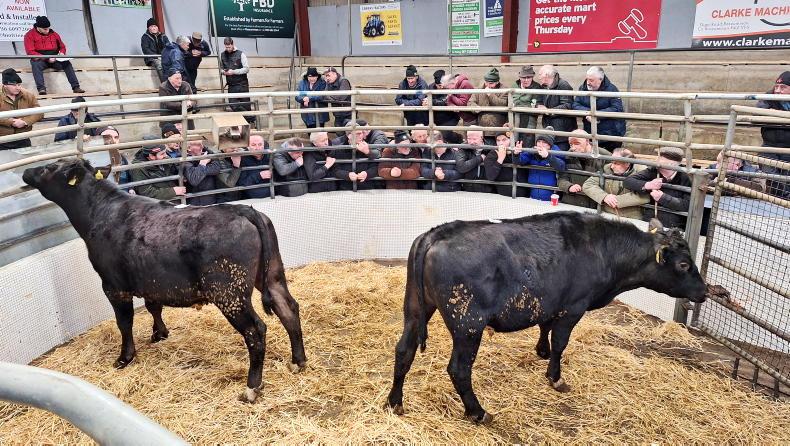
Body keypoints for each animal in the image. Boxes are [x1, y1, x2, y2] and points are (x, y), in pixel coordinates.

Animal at [22, 158, 307, 403]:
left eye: (48, 167)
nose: (26, 171)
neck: (99, 212)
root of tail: (242, 209)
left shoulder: (113, 286)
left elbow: (124, 322)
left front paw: (125, 357)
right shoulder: (151, 280)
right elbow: (153, 306)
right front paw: (159, 333)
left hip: (229, 292)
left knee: (255, 330)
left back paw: (252, 388)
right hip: (272, 275)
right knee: (288, 308)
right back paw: (298, 361)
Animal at [386, 212, 707, 424]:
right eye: (683, 264)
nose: (704, 292)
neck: (603, 249)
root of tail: (436, 233)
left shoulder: (551, 302)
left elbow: (545, 327)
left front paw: (541, 351)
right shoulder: (573, 308)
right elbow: (561, 342)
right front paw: (555, 377)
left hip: (415, 308)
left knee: (404, 351)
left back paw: (395, 402)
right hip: (468, 324)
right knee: (459, 369)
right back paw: (478, 412)